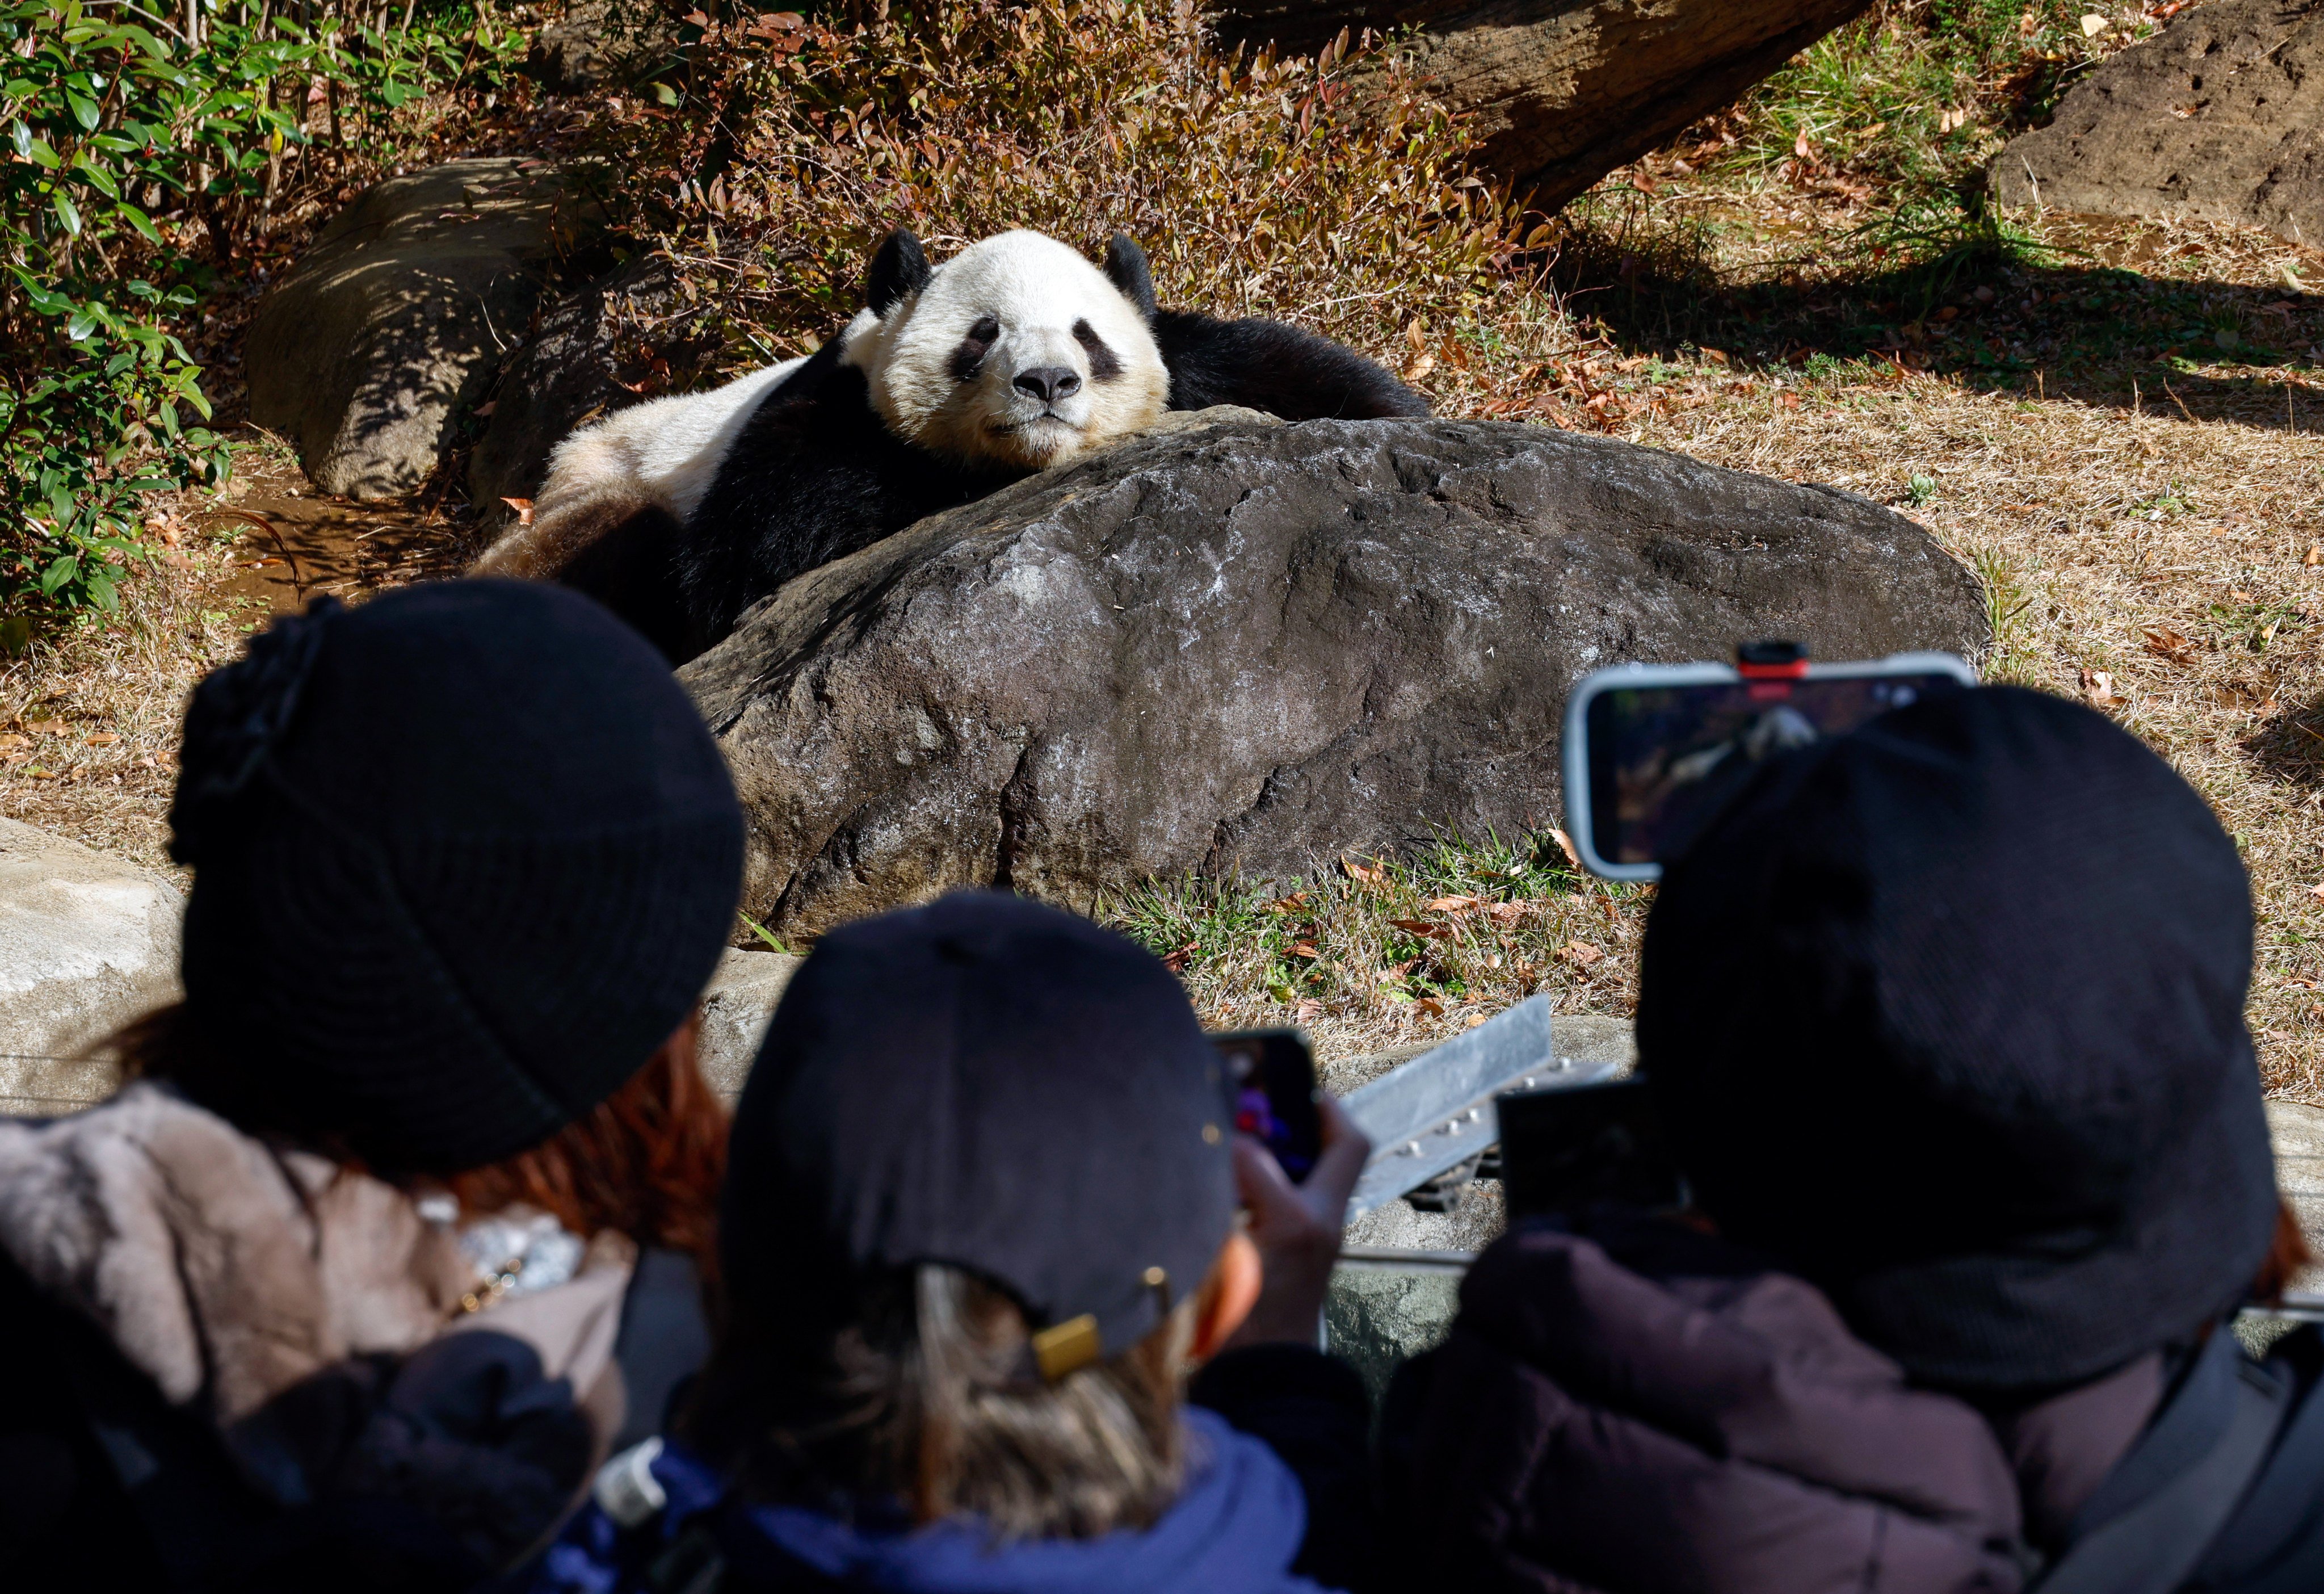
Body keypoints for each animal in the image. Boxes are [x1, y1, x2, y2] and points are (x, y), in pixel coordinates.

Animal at [474, 227, 1427, 663]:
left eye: (1087, 338)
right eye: (981, 334)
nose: (1046, 384)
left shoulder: (1192, 356)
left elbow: (1281, 366)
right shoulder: (819, 415)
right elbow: (756, 554)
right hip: (593, 490)